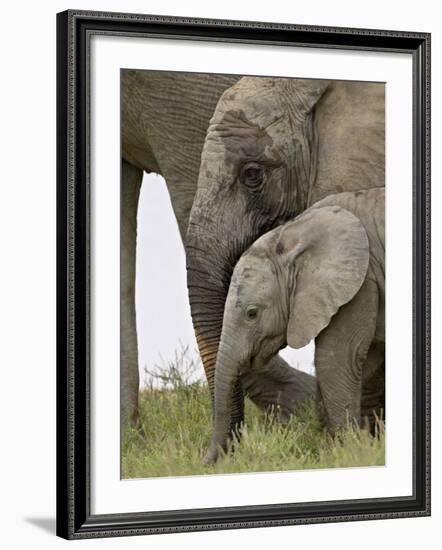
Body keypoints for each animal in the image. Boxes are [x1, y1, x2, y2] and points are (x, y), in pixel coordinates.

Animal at [206, 188, 384, 464]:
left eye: (252, 314)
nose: (205, 462)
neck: (292, 233)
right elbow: (363, 363)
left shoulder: (360, 281)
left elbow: (337, 360)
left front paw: (347, 452)